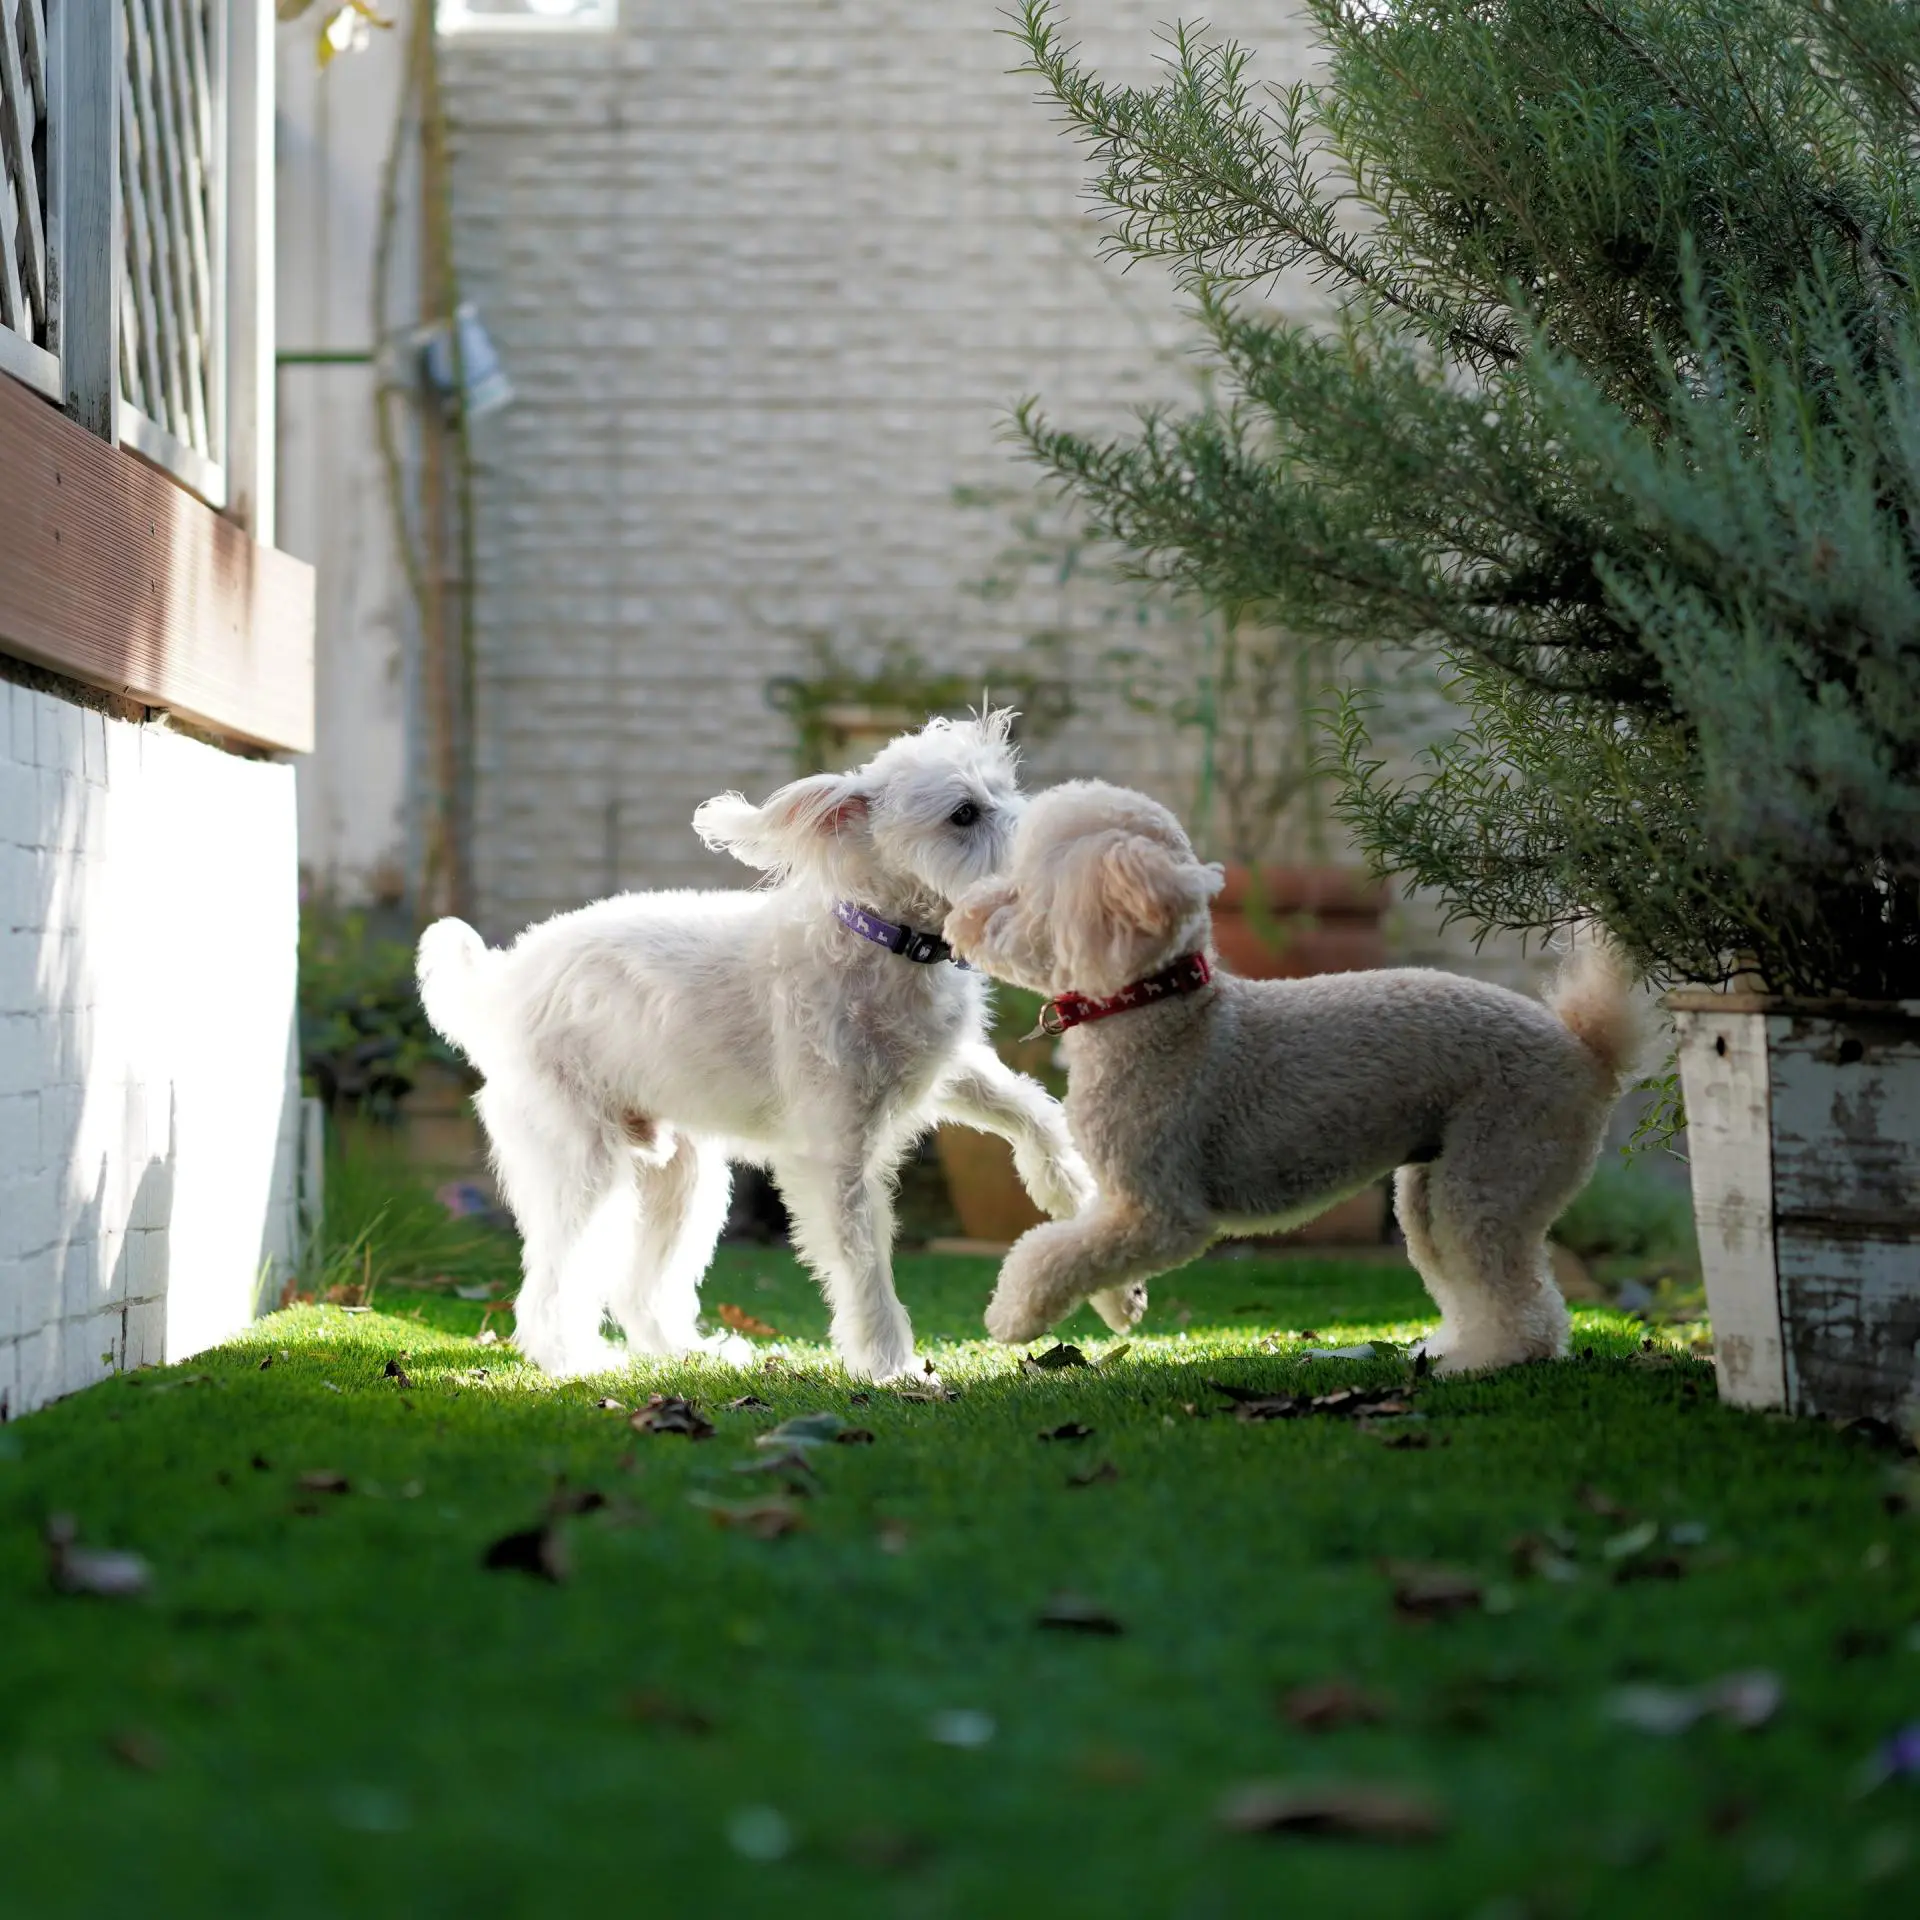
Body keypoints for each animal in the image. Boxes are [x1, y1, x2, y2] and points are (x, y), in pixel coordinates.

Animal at [418, 718, 1098, 1382]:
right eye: (963, 813)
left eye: (1005, 788)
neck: (883, 940)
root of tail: (501, 985)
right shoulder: (835, 1157)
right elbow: (863, 1265)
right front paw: (890, 1365)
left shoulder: (946, 1069)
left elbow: (1032, 1110)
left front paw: (1070, 1189)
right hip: (585, 1166)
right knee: (552, 1283)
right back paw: (571, 1360)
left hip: (684, 1181)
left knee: (641, 1292)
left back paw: (690, 1352)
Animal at [944, 787, 1635, 1374]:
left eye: (1019, 892)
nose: (961, 918)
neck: (1157, 1005)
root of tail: (1588, 1050)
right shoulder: (1120, 1202)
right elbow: (1078, 1241)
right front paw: (1121, 1305)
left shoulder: (1160, 1209)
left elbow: (1050, 1252)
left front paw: (1012, 1317)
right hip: (1433, 1188)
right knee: (1466, 1276)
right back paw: (1453, 1349)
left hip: (1500, 1162)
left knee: (1520, 1297)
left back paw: (1489, 1360)